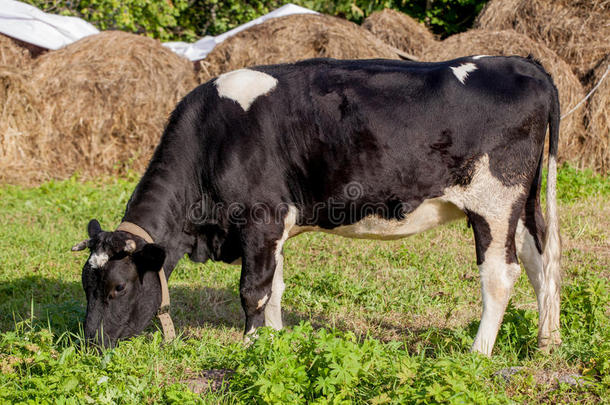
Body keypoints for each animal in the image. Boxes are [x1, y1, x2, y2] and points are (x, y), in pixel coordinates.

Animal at [72, 55, 560, 356]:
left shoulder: (261, 220)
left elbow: (253, 290)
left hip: (493, 202)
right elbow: (275, 287)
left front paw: (249, 347)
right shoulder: (274, 230)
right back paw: (547, 340)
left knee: (501, 273)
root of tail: (523, 63)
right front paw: (273, 342)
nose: (90, 344)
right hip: (524, 201)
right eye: (85, 285)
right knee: (542, 258)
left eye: (118, 287)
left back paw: (479, 352)